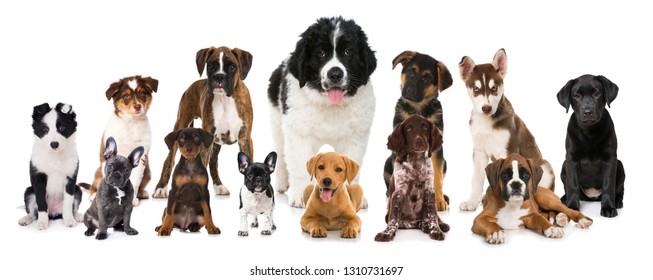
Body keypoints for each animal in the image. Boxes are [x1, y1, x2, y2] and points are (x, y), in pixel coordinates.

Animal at [266, 15, 376, 208]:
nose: (335, 74)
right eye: (321, 53)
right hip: (277, 122)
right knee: (280, 152)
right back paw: (281, 183)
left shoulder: (355, 137)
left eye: (348, 52)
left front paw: (351, 197)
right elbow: (300, 164)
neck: (330, 105)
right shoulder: (299, 134)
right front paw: (301, 195)